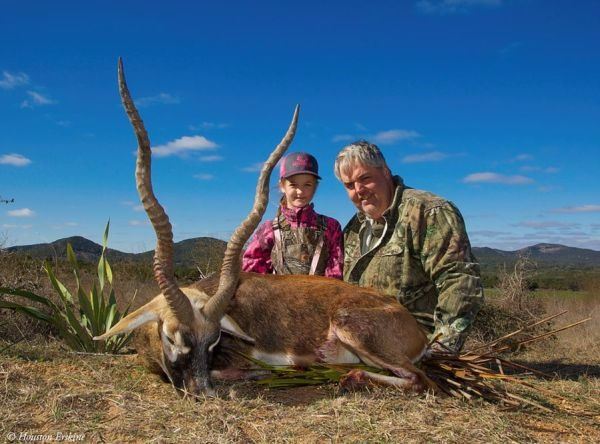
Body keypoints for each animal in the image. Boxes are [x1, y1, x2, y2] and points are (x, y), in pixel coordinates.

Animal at [96, 59, 433, 397]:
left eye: (214, 340)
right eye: (171, 336)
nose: (201, 391)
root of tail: (414, 327)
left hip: (353, 329)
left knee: (420, 378)